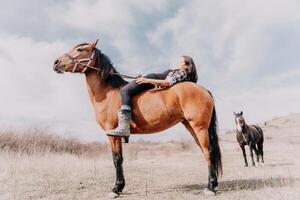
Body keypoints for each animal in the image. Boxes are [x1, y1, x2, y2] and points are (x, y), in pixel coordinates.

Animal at [53, 40, 223, 197]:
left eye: (80, 49)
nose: (56, 63)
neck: (109, 93)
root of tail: (203, 90)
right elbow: (119, 158)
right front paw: (119, 187)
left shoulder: (112, 133)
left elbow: (117, 159)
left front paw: (116, 189)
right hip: (192, 127)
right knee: (206, 152)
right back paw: (211, 185)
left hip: (199, 128)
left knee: (208, 152)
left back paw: (211, 188)